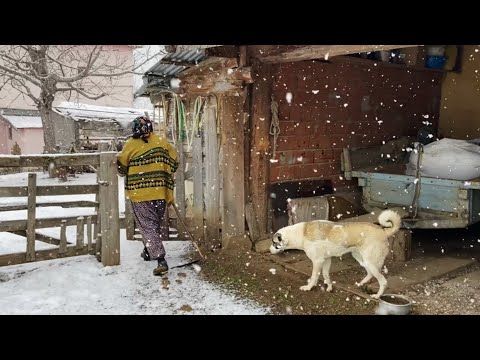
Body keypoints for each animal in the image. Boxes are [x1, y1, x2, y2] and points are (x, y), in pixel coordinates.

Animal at [270, 210, 402, 300]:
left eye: (274, 243)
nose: (269, 250)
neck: (300, 234)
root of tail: (383, 231)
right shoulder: (326, 260)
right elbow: (326, 275)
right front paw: (329, 288)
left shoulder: (317, 261)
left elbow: (314, 277)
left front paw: (308, 288)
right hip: (361, 259)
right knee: (370, 274)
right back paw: (360, 283)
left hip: (370, 261)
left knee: (383, 281)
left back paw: (376, 296)